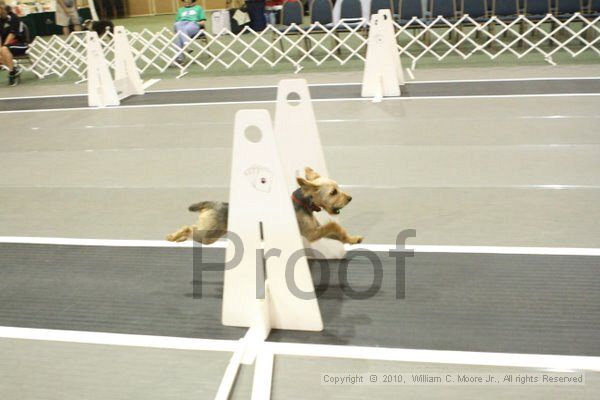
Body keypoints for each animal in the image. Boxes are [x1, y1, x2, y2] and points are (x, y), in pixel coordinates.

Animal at [168, 167, 366, 245]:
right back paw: (173, 236)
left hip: (209, 231)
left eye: (338, 188)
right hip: (209, 234)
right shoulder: (311, 234)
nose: (350, 198)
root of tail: (212, 203)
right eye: (333, 192)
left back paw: (178, 238)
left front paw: (352, 239)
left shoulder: (317, 230)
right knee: (189, 228)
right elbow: (334, 225)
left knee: (192, 227)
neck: (305, 203)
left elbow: (338, 233)